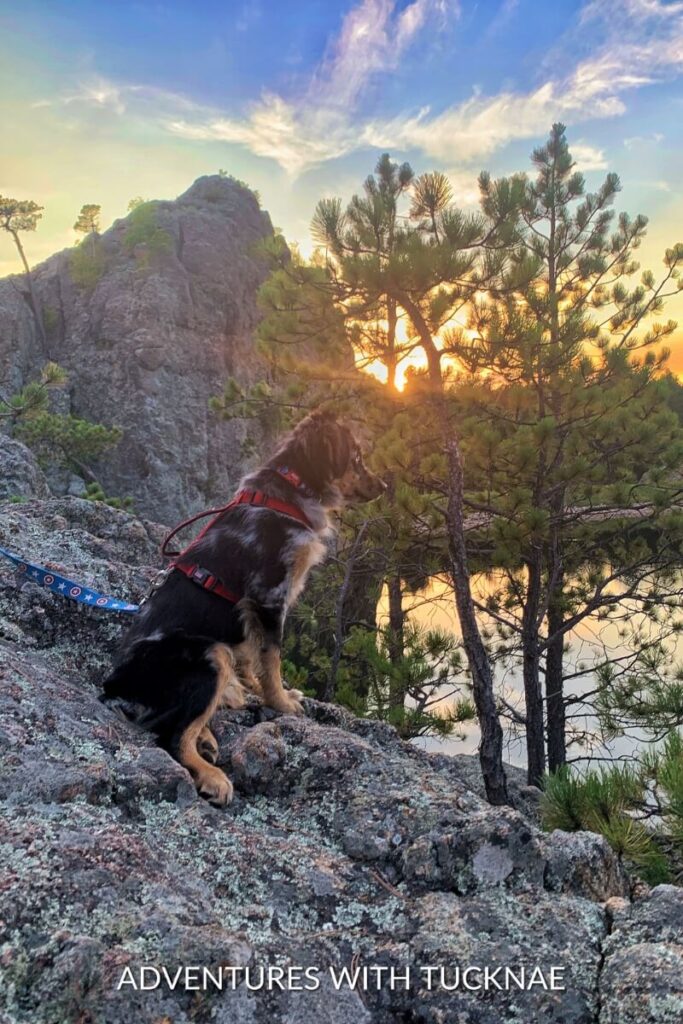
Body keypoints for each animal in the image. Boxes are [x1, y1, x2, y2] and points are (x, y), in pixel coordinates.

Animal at [103, 411, 387, 802]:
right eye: (357, 457)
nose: (385, 485)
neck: (291, 493)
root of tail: (114, 683)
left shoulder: (259, 608)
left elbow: (254, 653)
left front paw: (257, 686)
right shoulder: (270, 594)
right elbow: (272, 656)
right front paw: (280, 701)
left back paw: (212, 729)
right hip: (210, 654)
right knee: (172, 735)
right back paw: (211, 774)